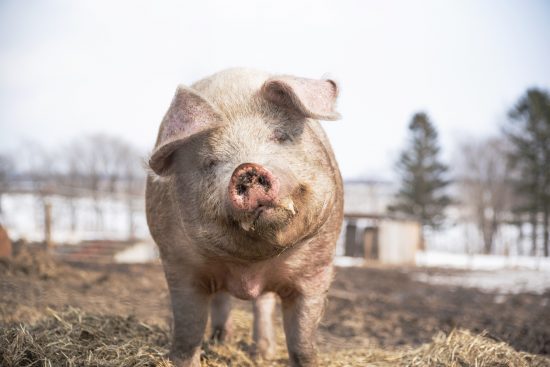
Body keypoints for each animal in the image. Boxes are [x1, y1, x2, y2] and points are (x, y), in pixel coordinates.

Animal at [147, 69, 344, 367]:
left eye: (279, 136)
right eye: (209, 162)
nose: (246, 169)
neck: (249, 266)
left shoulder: (317, 267)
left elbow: (302, 341)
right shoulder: (179, 264)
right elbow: (188, 331)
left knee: (262, 304)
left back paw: (262, 353)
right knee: (221, 302)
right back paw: (222, 341)